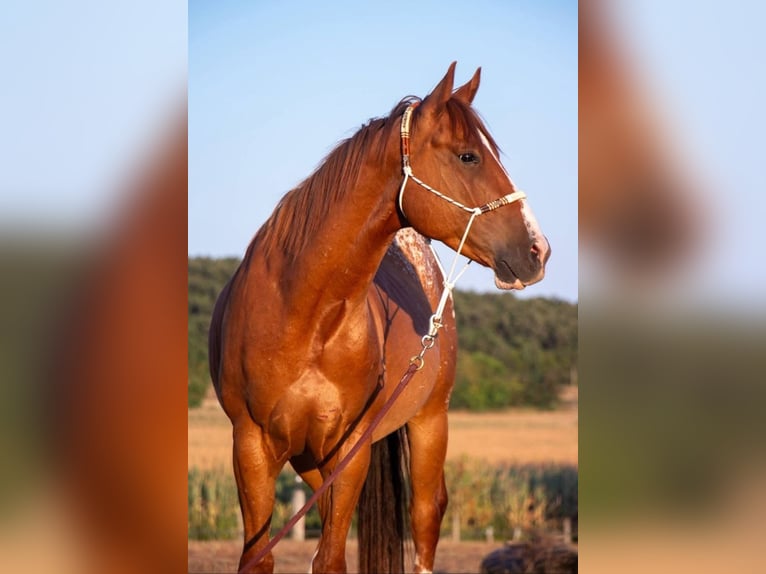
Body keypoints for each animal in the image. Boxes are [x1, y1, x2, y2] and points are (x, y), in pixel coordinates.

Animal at [208, 62, 550, 574]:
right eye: (468, 156)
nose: (538, 250)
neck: (302, 317)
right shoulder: (250, 447)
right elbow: (261, 557)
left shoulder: (350, 451)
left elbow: (331, 560)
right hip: (312, 462)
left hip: (430, 422)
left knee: (426, 516)